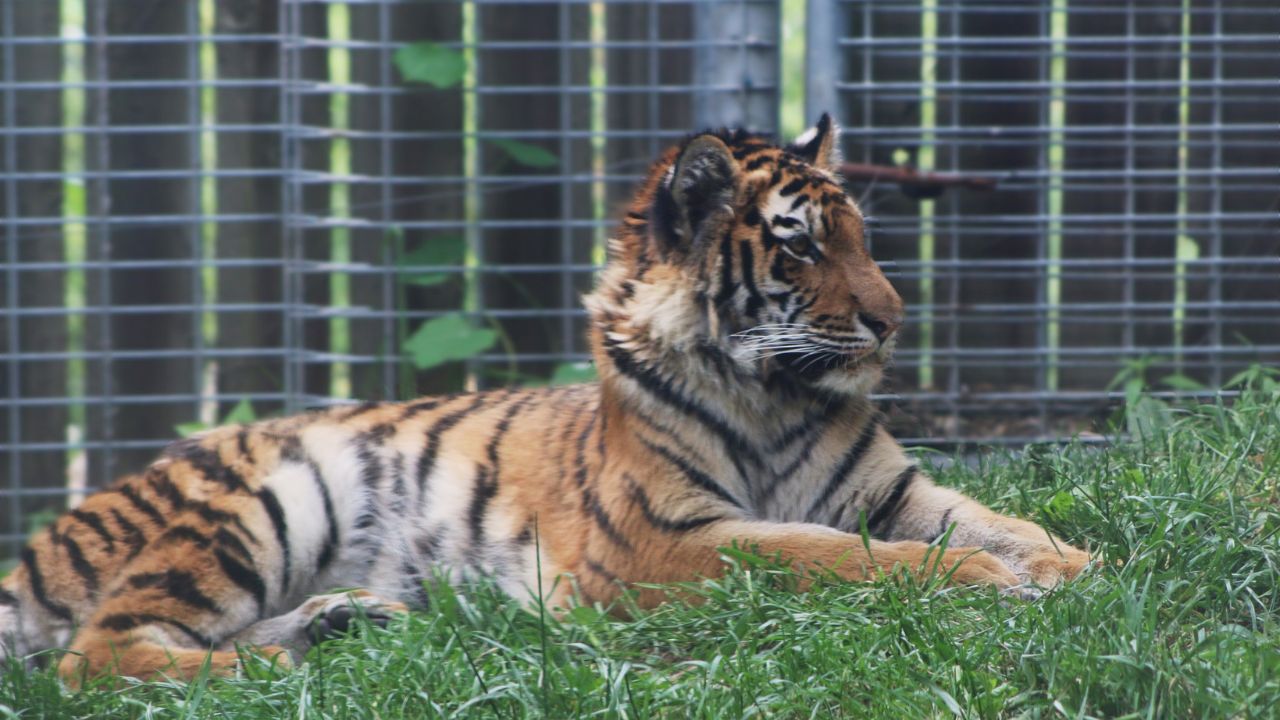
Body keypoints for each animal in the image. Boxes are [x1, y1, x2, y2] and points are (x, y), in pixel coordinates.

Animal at [0, 115, 1090, 686]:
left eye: (861, 234)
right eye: (798, 247)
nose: (892, 320)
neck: (777, 395)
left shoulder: (890, 491)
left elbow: (994, 516)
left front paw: (1073, 567)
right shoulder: (659, 542)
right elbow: (817, 553)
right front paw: (981, 583)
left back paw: (345, 629)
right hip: (254, 501)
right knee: (101, 652)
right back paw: (290, 670)